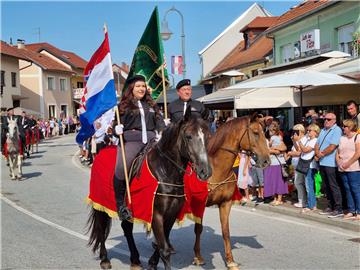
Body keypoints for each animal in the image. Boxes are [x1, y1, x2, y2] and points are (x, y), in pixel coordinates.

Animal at [86, 108, 212, 270]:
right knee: (101, 228)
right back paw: (105, 259)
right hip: (100, 204)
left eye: (208, 136)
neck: (165, 171)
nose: (205, 172)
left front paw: (152, 263)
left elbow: (160, 244)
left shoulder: (171, 214)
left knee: (126, 228)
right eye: (188, 136)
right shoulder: (156, 215)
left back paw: (135, 260)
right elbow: (164, 249)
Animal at [191, 114, 270, 270]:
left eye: (265, 133)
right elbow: (198, 228)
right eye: (256, 133)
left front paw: (230, 261)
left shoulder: (225, 203)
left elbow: (225, 231)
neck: (217, 169)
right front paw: (198, 257)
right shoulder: (199, 205)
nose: (266, 161)